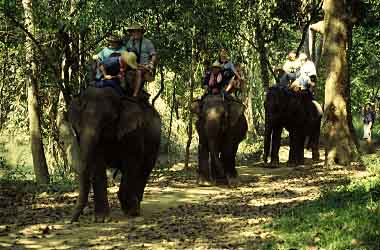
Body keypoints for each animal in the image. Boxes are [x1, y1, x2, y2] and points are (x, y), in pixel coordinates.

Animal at [68, 87, 160, 222]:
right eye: (80, 121)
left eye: (108, 120)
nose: (70, 221)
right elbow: (97, 165)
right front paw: (101, 219)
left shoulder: (134, 132)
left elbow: (132, 162)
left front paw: (131, 211)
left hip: (155, 142)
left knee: (144, 170)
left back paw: (135, 207)